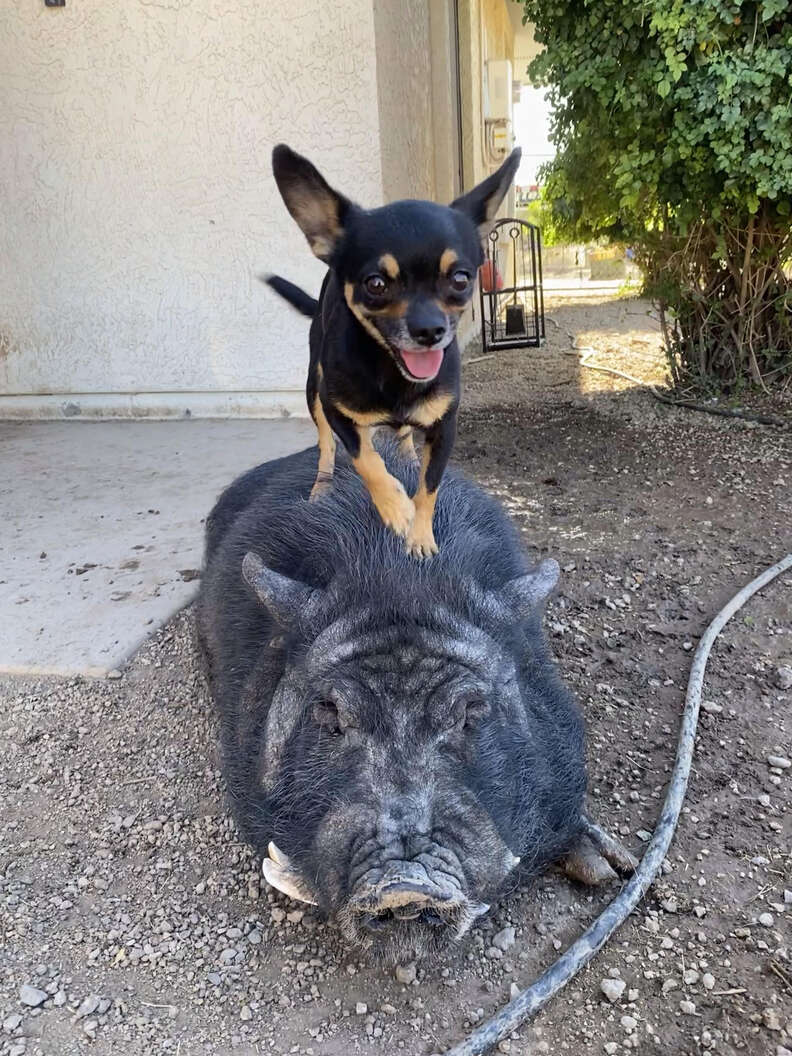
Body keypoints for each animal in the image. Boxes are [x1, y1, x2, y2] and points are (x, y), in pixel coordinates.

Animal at [264, 143, 520, 558]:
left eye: (461, 279)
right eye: (376, 284)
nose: (429, 330)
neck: (393, 372)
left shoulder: (444, 428)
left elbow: (429, 486)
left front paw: (420, 533)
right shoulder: (336, 409)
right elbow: (364, 458)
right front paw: (396, 507)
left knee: (402, 441)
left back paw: (408, 457)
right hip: (313, 392)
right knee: (328, 446)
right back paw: (324, 482)